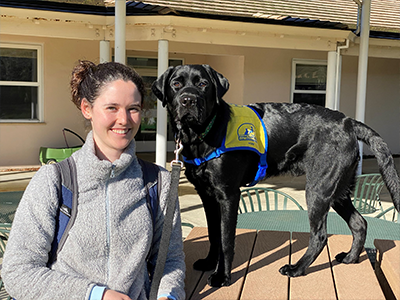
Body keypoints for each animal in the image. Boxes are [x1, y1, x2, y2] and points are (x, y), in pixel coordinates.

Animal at [151, 64, 400, 288]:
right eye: (176, 84)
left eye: (203, 84)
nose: (188, 101)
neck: (202, 134)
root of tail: (348, 121)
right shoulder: (207, 195)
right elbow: (213, 233)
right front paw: (209, 262)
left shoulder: (228, 194)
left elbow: (225, 239)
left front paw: (222, 276)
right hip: (338, 189)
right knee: (359, 223)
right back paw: (350, 258)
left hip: (319, 188)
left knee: (320, 235)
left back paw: (297, 268)